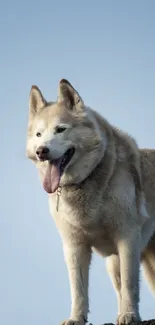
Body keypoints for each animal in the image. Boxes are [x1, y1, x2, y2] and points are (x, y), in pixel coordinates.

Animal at [26, 79, 154, 324]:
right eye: (39, 134)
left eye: (60, 129)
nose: (41, 151)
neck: (85, 183)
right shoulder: (74, 246)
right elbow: (78, 289)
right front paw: (76, 318)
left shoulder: (127, 238)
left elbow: (130, 284)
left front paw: (129, 315)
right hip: (115, 264)